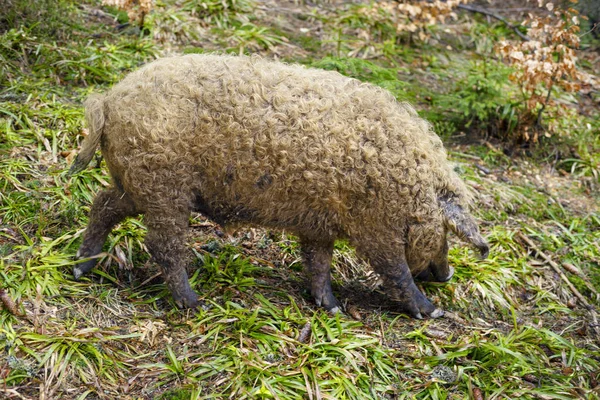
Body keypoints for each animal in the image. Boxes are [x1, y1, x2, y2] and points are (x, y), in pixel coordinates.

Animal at [70, 54, 488, 320]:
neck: (413, 187)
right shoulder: (376, 227)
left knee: (102, 204)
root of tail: (109, 100)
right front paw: (432, 312)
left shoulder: (319, 224)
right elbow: (395, 271)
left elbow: (318, 263)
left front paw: (332, 308)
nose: (448, 275)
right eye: (446, 233)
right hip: (164, 188)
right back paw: (195, 304)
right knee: (163, 246)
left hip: (138, 184)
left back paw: (80, 269)